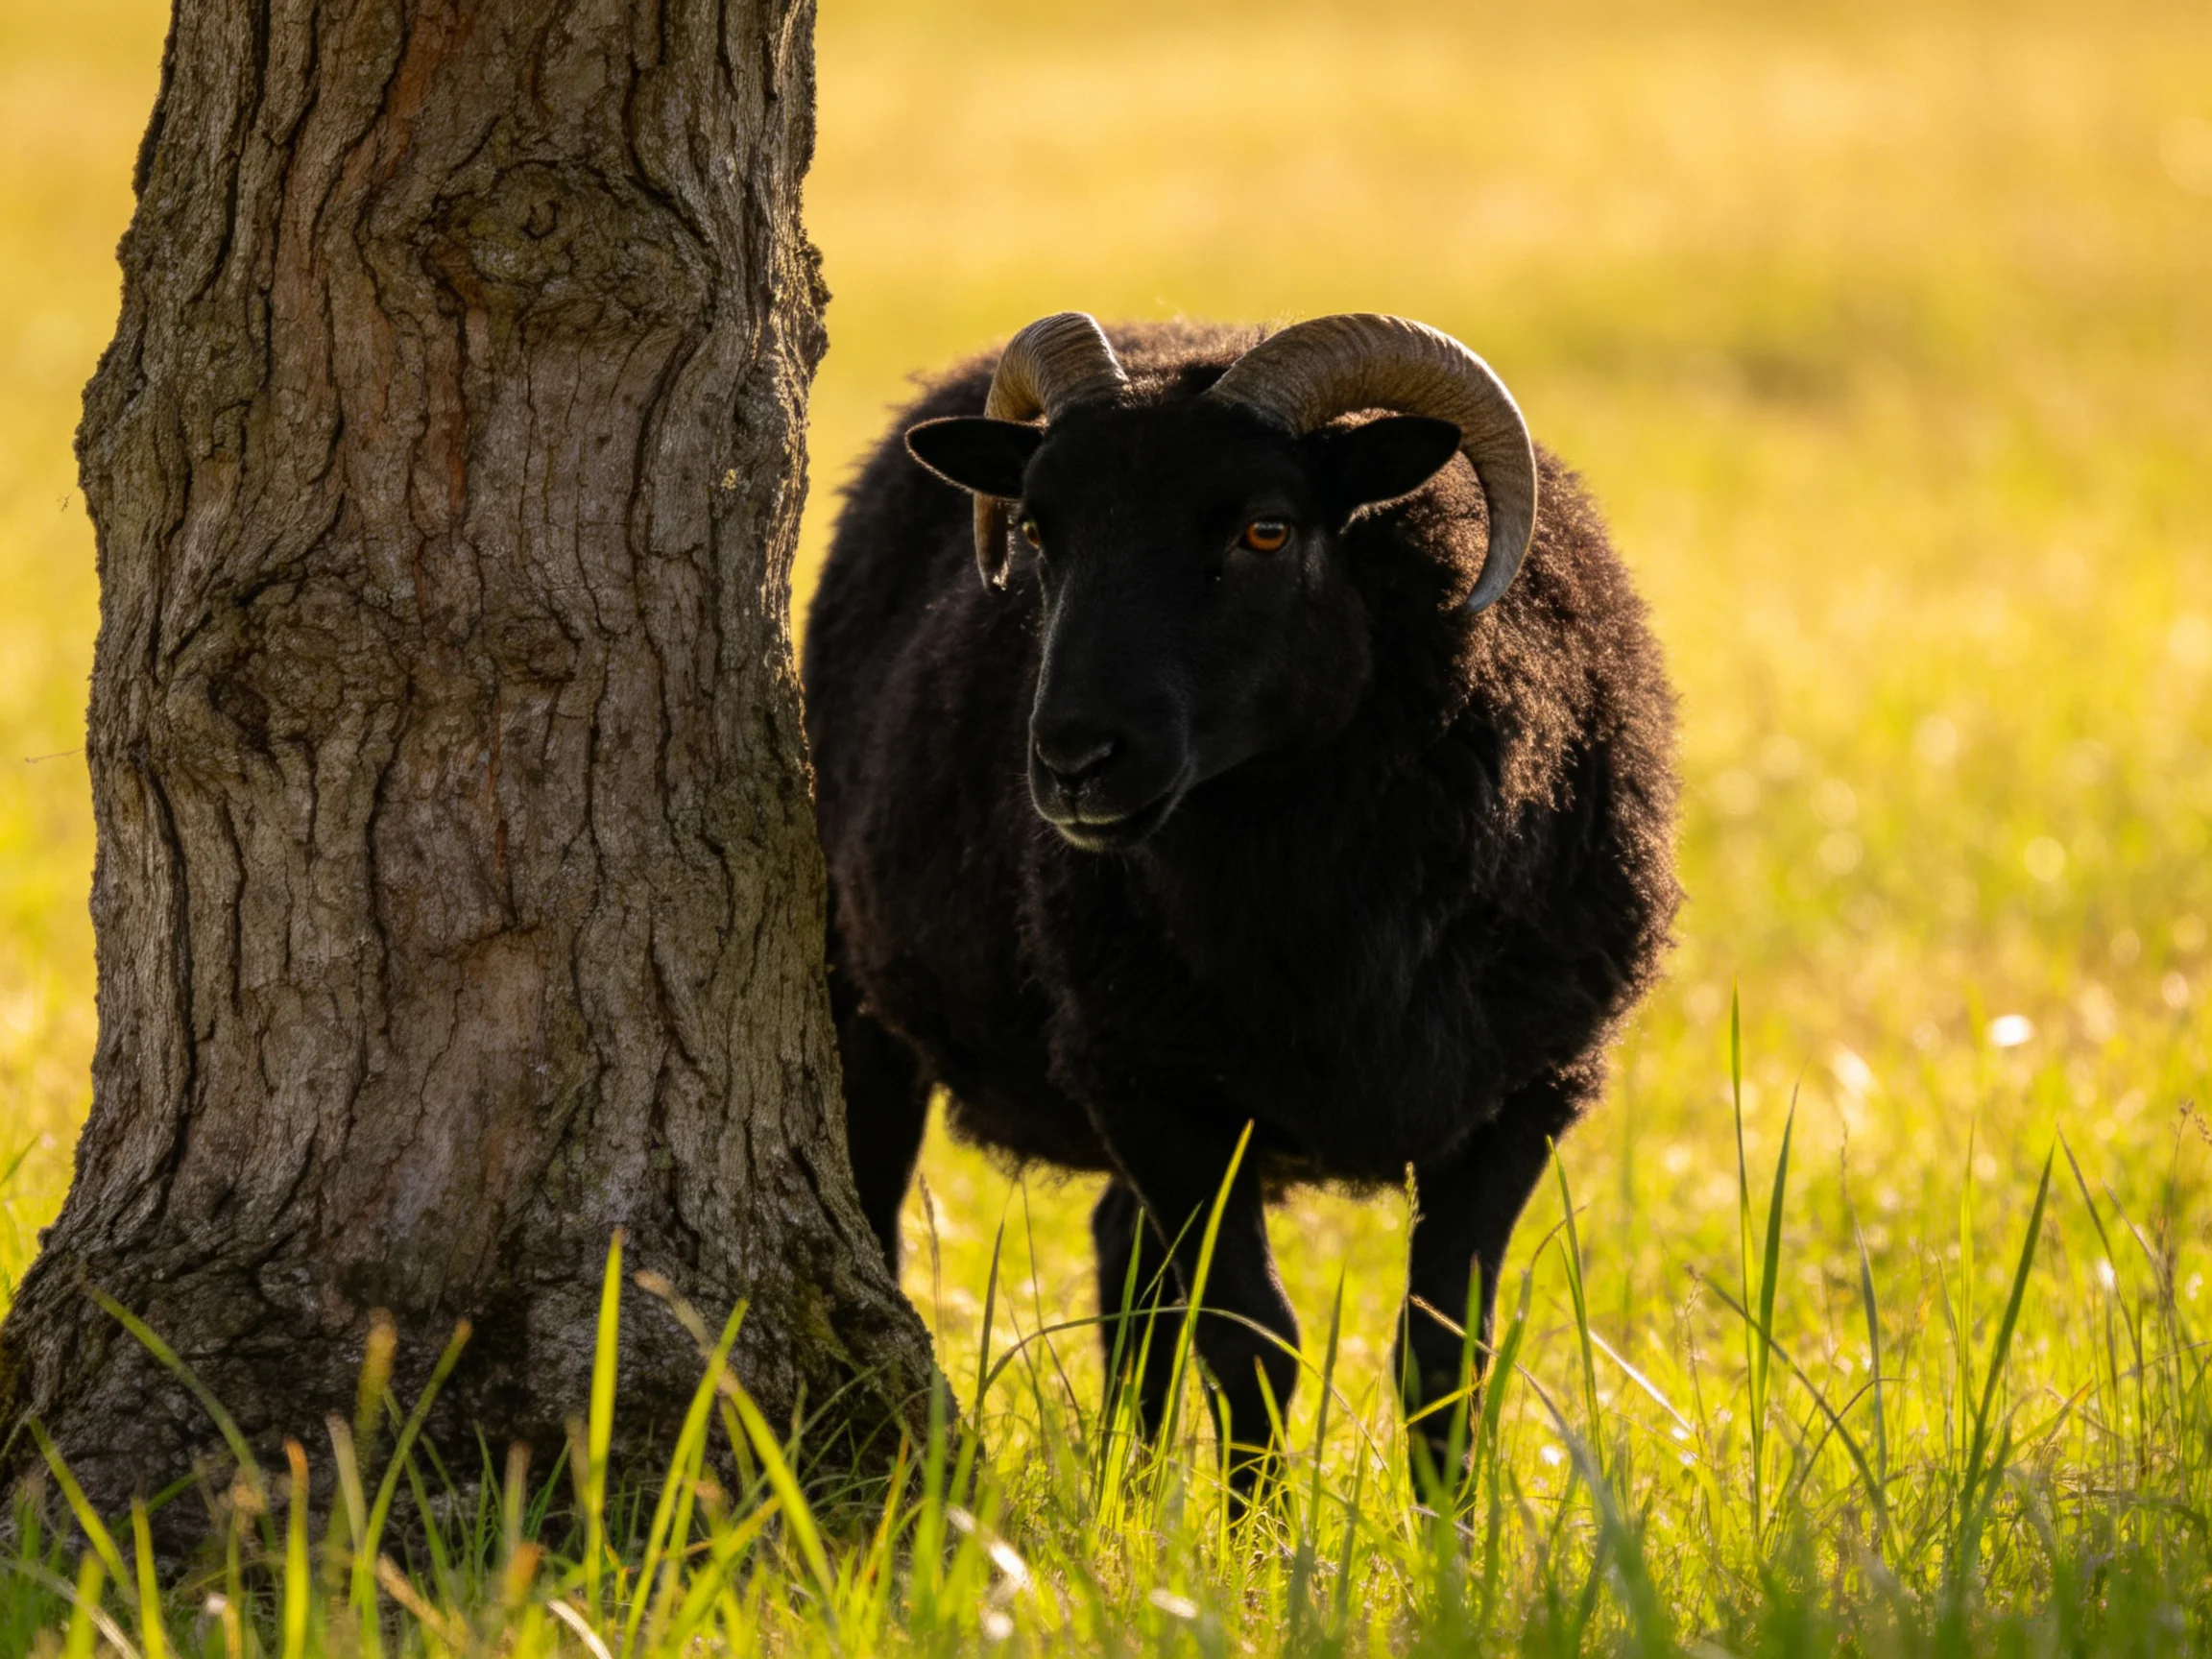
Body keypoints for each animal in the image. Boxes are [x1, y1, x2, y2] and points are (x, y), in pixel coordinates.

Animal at [802, 312, 1679, 1488]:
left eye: (1267, 531)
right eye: (1037, 530)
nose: (1073, 760)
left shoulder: (1526, 1093)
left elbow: (1444, 1358)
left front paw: (1449, 1536)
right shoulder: (1156, 1089)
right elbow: (1253, 1343)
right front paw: (1256, 1537)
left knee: (1123, 1260)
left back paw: (1127, 1484)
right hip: (866, 1002)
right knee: (898, 1218)